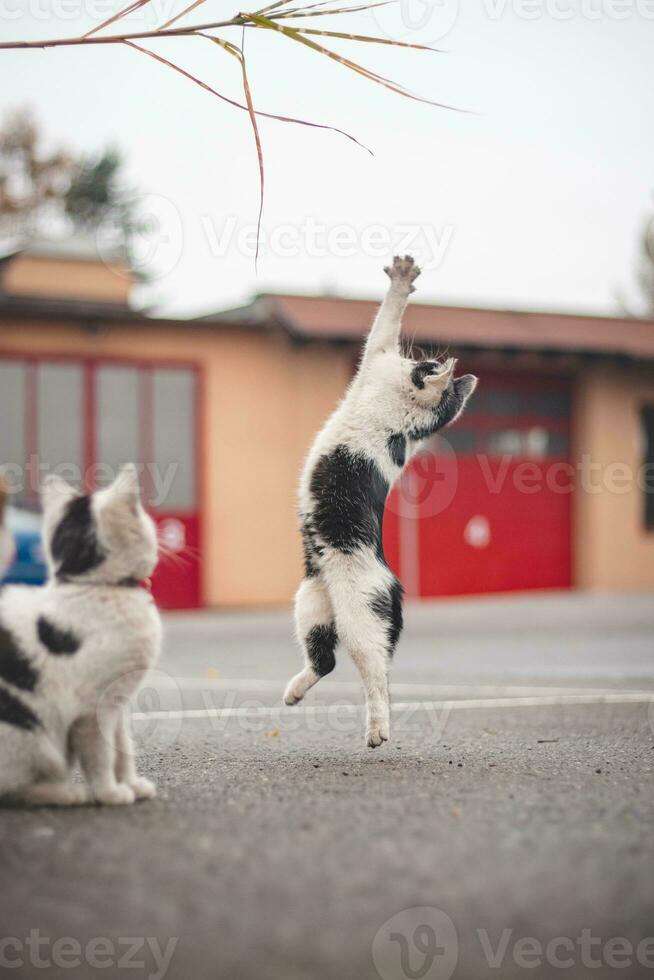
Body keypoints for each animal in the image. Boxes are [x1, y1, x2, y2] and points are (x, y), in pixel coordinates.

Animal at [0, 466, 161, 804]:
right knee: (15, 788)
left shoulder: (118, 702)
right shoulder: (92, 709)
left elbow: (123, 748)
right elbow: (101, 754)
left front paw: (131, 783)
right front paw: (110, 793)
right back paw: (66, 793)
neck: (94, 585)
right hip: (31, 735)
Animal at [284, 256, 480, 748]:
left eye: (426, 364)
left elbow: (386, 319)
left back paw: (378, 730)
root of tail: (393, 585)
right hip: (311, 603)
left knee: (376, 675)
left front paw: (402, 276)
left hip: (360, 616)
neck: (407, 417)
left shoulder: (375, 357)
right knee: (325, 660)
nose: (429, 358)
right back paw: (293, 693)